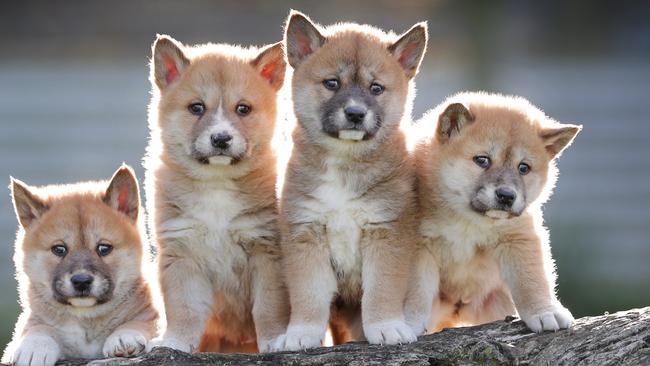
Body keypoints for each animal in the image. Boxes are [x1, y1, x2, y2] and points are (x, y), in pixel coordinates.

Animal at [2, 167, 158, 366]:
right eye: (59, 249)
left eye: (104, 248)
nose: (81, 281)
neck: (86, 321)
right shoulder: (32, 322)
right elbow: (38, 328)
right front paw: (35, 346)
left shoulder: (154, 315)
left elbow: (143, 323)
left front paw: (124, 337)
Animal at [146, 35, 290, 354]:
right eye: (197, 107)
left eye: (243, 109)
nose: (221, 139)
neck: (217, 184)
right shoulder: (182, 253)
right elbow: (184, 310)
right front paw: (174, 343)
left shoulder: (266, 252)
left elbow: (269, 308)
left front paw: (276, 341)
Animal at [278, 10, 426, 350]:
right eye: (332, 83)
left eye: (376, 88)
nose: (356, 114)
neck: (343, 164)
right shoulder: (305, 234)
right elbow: (308, 296)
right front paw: (301, 333)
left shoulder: (387, 232)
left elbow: (381, 291)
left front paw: (386, 327)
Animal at [404, 91, 576, 334]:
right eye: (482, 160)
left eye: (523, 168)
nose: (506, 196)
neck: (467, 219)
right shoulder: (419, 246)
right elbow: (416, 292)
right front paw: (407, 323)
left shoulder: (518, 238)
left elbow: (531, 281)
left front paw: (545, 312)